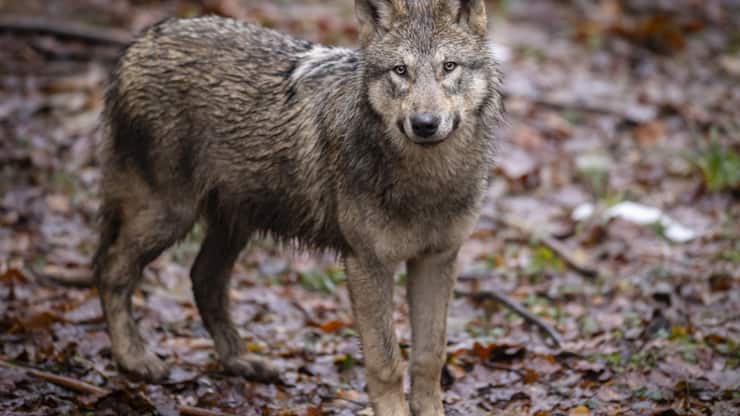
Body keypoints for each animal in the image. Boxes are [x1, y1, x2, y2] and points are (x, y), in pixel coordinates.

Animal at [94, 0, 501, 414]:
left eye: (448, 66)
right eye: (400, 70)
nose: (424, 123)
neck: (428, 182)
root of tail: (138, 43)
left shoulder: (437, 259)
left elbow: (430, 356)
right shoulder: (367, 263)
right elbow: (386, 362)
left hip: (235, 223)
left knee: (203, 280)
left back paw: (241, 360)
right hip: (169, 216)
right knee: (111, 272)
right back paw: (134, 358)